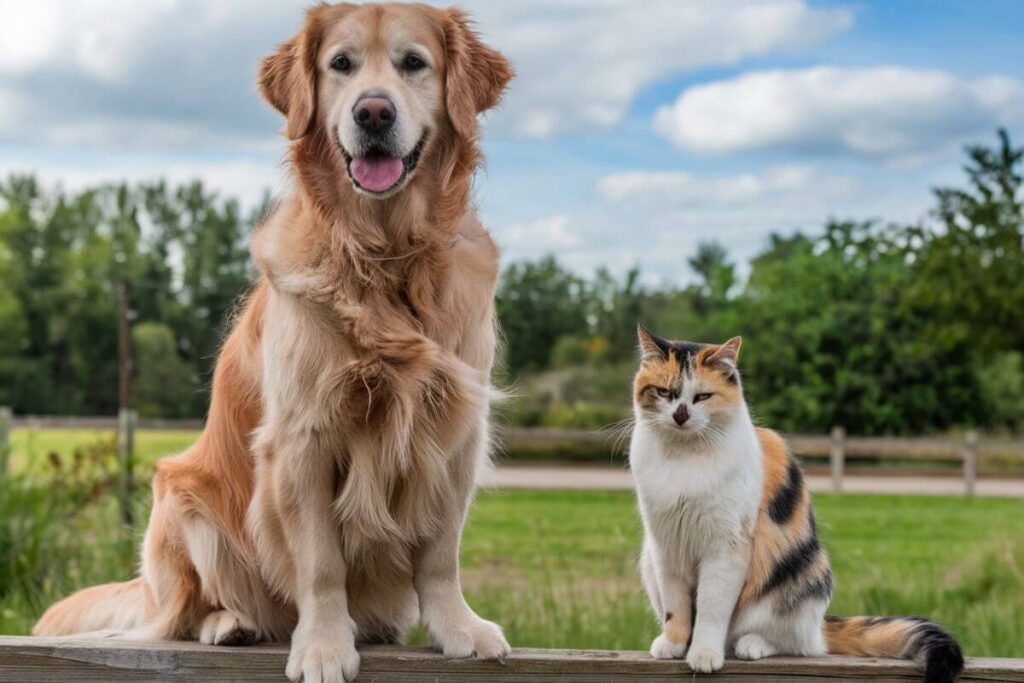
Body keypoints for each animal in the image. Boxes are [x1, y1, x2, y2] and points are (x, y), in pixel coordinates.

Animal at [34, 2, 512, 679]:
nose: (373, 112)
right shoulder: (303, 437)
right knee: (183, 612)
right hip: (181, 500)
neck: (385, 255)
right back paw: (229, 624)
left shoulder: (456, 429)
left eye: (414, 63)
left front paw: (458, 629)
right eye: (340, 64)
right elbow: (321, 563)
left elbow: (440, 554)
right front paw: (323, 647)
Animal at [626, 325, 962, 683]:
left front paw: (704, 653)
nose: (681, 414)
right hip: (647, 560)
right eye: (664, 392)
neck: (683, 457)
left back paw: (751, 645)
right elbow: (676, 607)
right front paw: (675, 644)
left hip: (801, 573)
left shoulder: (727, 546)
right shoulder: (666, 545)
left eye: (702, 396)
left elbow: (712, 609)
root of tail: (820, 626)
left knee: (796, 644)